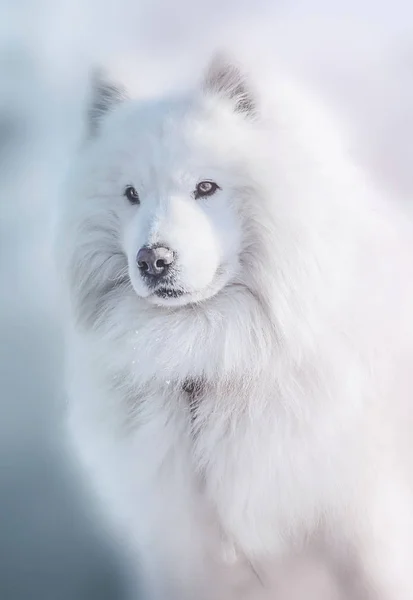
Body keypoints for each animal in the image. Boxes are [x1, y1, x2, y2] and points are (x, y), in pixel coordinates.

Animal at [58, 56, 413, 600]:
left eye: (206, 187)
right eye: (132, 194)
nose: (153, 260)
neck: (208, 359)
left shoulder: (365, 529)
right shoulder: (182, 549)